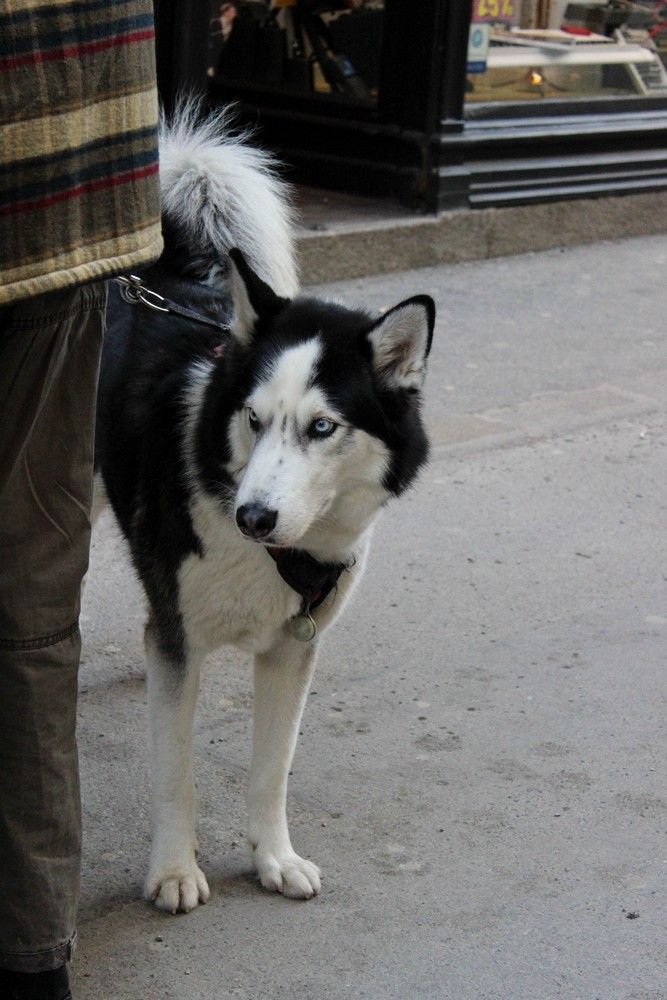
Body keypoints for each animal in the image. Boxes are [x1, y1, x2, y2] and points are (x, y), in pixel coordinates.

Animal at [95, 103, 438, 916]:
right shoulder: (182, 646)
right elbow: (175, 774)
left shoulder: (292, 650)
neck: (275, 556)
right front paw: (173, 870)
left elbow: (271, 769)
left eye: (322, 427)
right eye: (253, 418)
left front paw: (273, 858)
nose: (253, 517)